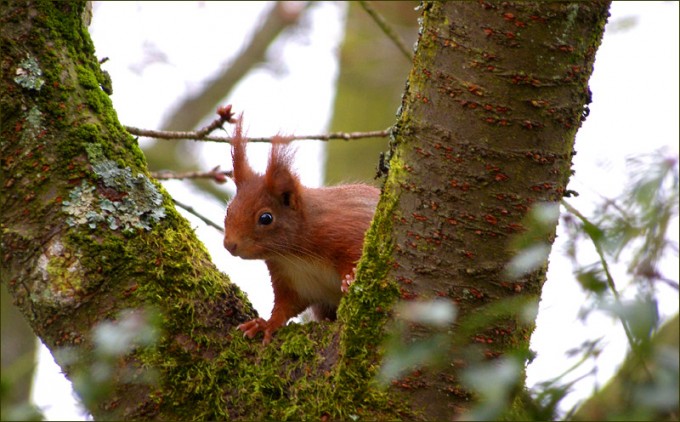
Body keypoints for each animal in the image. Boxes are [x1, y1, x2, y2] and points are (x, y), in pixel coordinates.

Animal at [223, 118, 380, 344]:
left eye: (266, 218)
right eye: (229, 209)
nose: (229, 245)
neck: (294, 254)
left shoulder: (347, 229)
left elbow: (356, 252)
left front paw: (350, 277)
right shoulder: (293, 281)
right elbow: (285, 307)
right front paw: (266, 324)